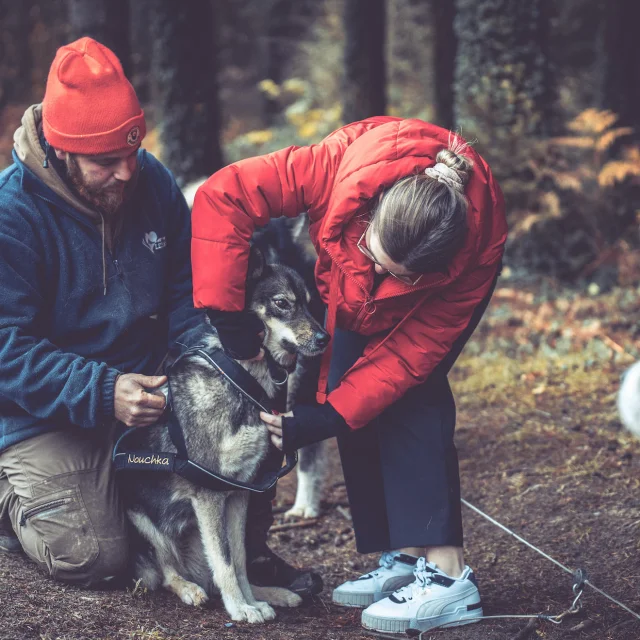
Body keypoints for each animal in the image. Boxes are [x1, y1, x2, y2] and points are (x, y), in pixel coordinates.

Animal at [122, 248, 330, 624]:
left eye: (310, 304)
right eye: (282, 303)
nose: (325, 338)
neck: (244, 381)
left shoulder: (239, 492)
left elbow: (240, 560)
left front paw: (252, 601)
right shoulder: (210, 493)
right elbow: (225, 561)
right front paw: (239, 607)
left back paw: (275, 592)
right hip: (144, 522)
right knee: (168, 572)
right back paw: (189, 589)